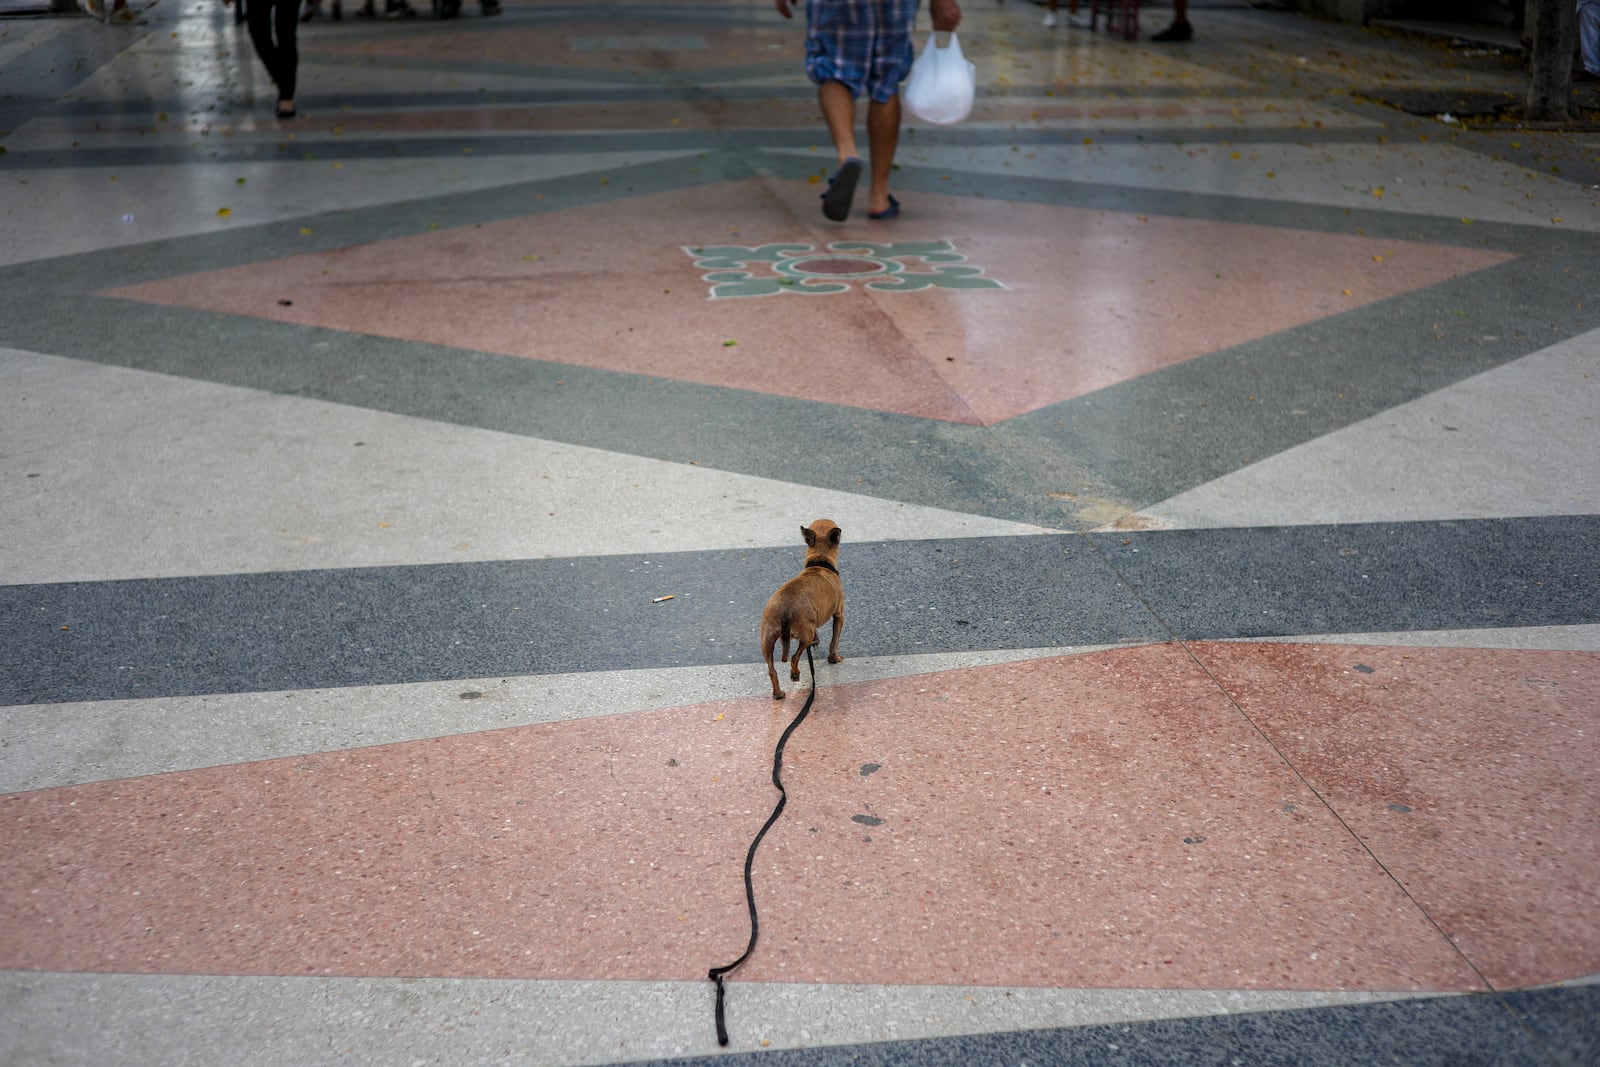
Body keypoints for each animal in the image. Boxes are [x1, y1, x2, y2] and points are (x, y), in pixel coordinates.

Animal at [758, 518, 844, 700]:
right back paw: (795, 674)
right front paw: (834, 658)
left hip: (767, 640)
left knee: (772, 670)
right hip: (804, 635)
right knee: (793, 658)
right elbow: (834, 641)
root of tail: (785, 610)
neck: (819, 563)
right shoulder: (839, 616)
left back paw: (778, 694)